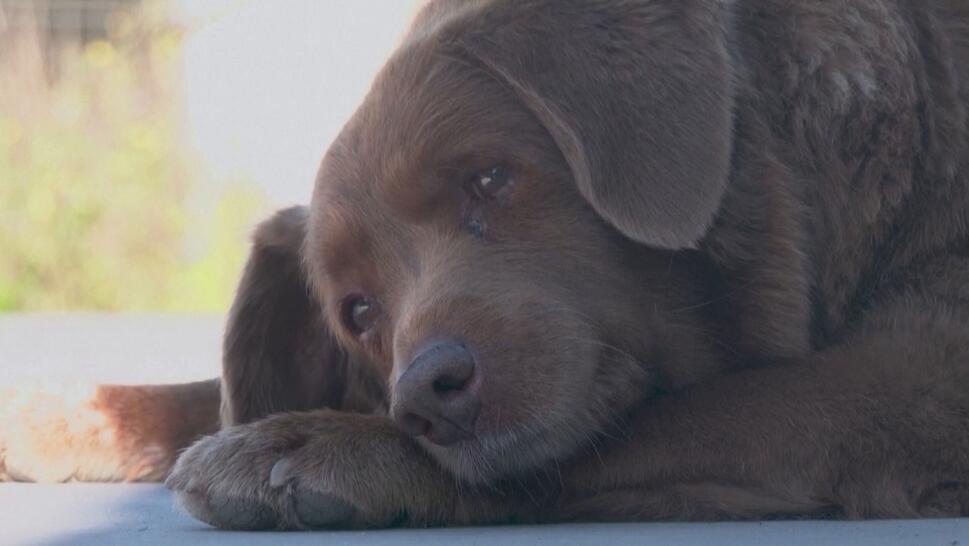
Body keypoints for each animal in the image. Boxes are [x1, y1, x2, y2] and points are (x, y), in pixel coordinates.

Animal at [5, 0, 968, 528]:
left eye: (492, 178)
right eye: (359, 312)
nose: (424, 394)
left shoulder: (917, 381)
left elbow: (678, 414)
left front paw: (322, 443)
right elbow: (203, 390)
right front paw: (53, 413)